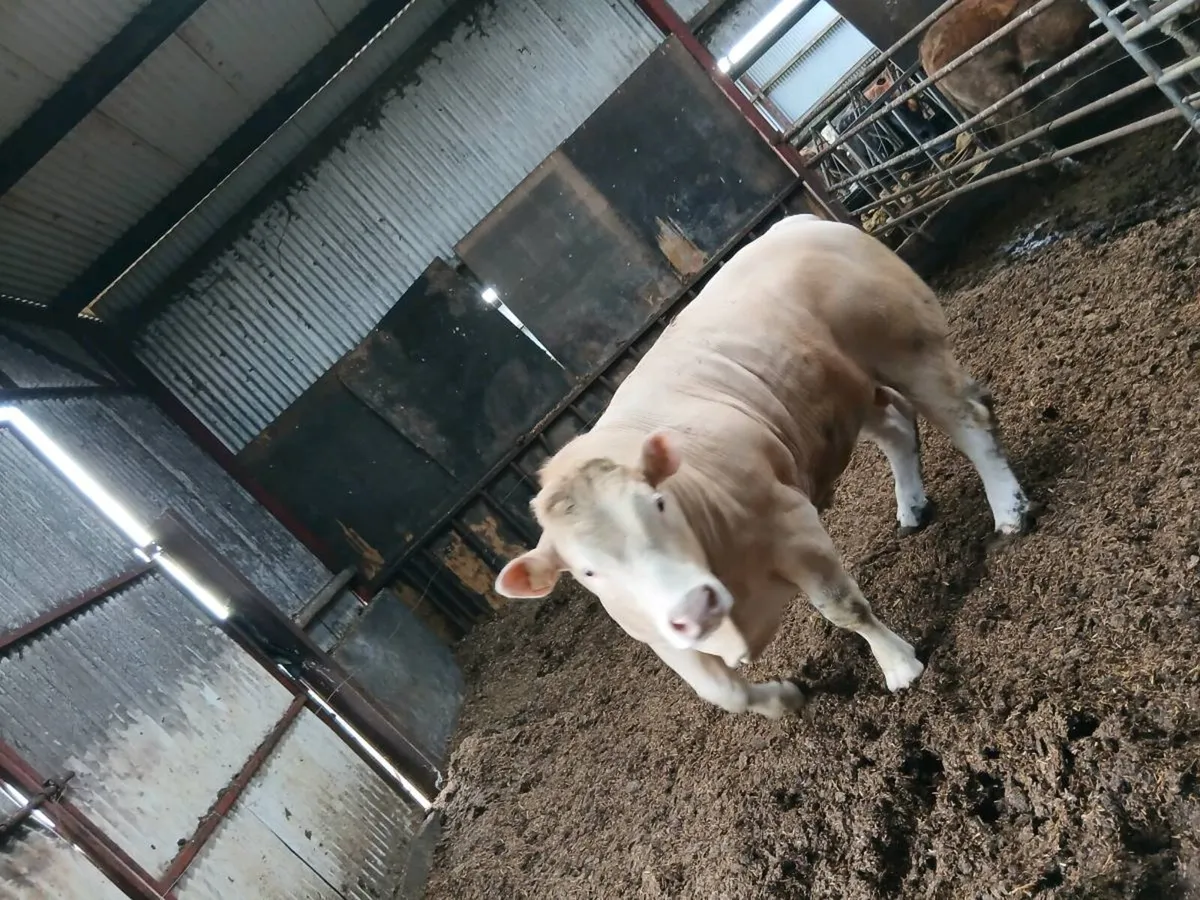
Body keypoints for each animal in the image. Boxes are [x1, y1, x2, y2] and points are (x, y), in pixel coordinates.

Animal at [494, 214, 1035, 719]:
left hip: (906, 345)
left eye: (659, 503)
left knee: (968, 418)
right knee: (898, 428)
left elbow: (845, 608)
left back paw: (1008, 511)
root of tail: (800, 223)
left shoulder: (792, 526)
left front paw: (900, 665)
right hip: (841, 395)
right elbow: (723, 693)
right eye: (588, 570)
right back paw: (913, 508)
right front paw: (785, 699)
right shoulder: (663, 636)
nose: (694, 607)